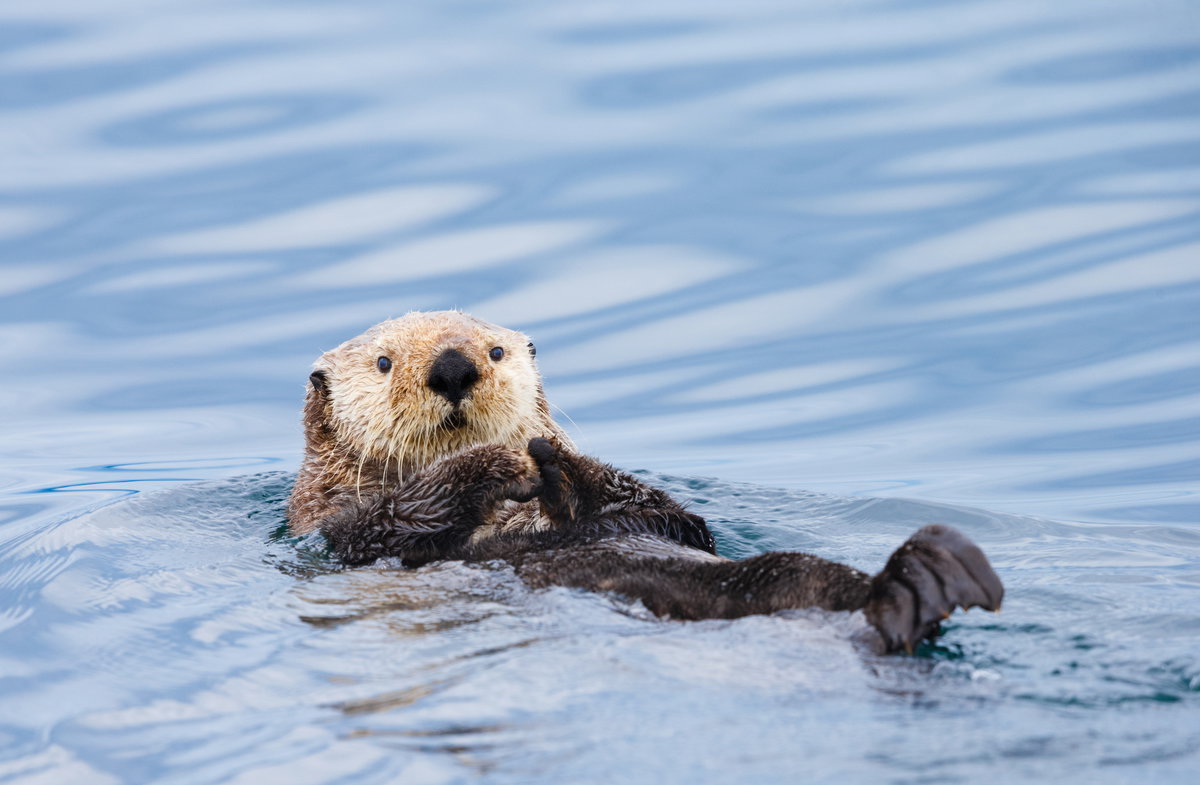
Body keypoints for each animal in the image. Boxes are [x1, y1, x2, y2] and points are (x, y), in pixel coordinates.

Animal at [290, 310, 1003, 653]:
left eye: (495, 351)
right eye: (385, 363)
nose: (453, 365)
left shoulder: (668, 520)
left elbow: (671, 516)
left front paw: (553, 460)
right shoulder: (338, 531)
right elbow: (396, 520)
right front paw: (501, 464)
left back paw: (932, 575)